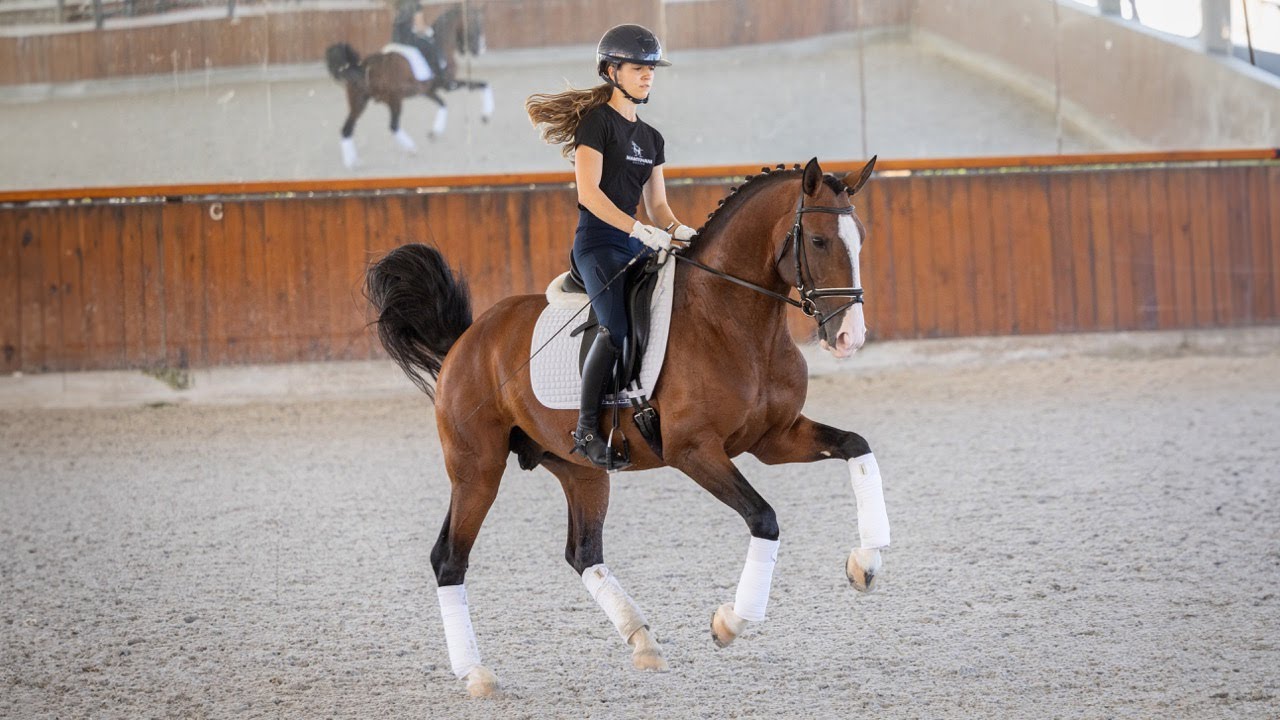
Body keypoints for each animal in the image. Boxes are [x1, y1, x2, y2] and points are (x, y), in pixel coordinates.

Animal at [324, 3, 491, 169]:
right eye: (477, 23)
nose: (480, 50)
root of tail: (363, 66)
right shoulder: (449, 84)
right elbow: (483, 84)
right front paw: (486, 115)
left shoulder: (427, 90)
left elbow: (443, 104)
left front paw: (435, 131)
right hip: (394, 100)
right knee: (393, 126)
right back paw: (411, 148)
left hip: (359, 103)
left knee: (346, 129)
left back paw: (352, 162)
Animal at [365, 157, 887, 697]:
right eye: (819, 241)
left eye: (861, 237)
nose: (850, 337)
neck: (733, 321)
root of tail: (468, 338)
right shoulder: (694, 451)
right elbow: (764, 518)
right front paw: (730, 622)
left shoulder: (775, 439)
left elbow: (857, 446)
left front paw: (866, 563)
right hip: (477, 470)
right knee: (449, 558)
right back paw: (476, 673)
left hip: (580, 470)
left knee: (583, 552)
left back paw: (642, 641)